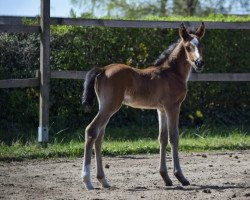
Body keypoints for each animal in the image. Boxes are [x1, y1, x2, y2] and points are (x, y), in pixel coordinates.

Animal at [81, 22, 205, 190]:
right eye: (187, 47)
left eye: (201, 45)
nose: (199, 63)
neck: (172, 73)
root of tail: (102, 70)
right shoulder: (173, 107)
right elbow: (174, 137)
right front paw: (181, 177)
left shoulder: (161, 109)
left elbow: (162, 138)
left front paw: (166, 178)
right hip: (110, 106)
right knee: (91, 130)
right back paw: (87, 181)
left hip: (105, 107)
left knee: (99, 137)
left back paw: (103, 180)